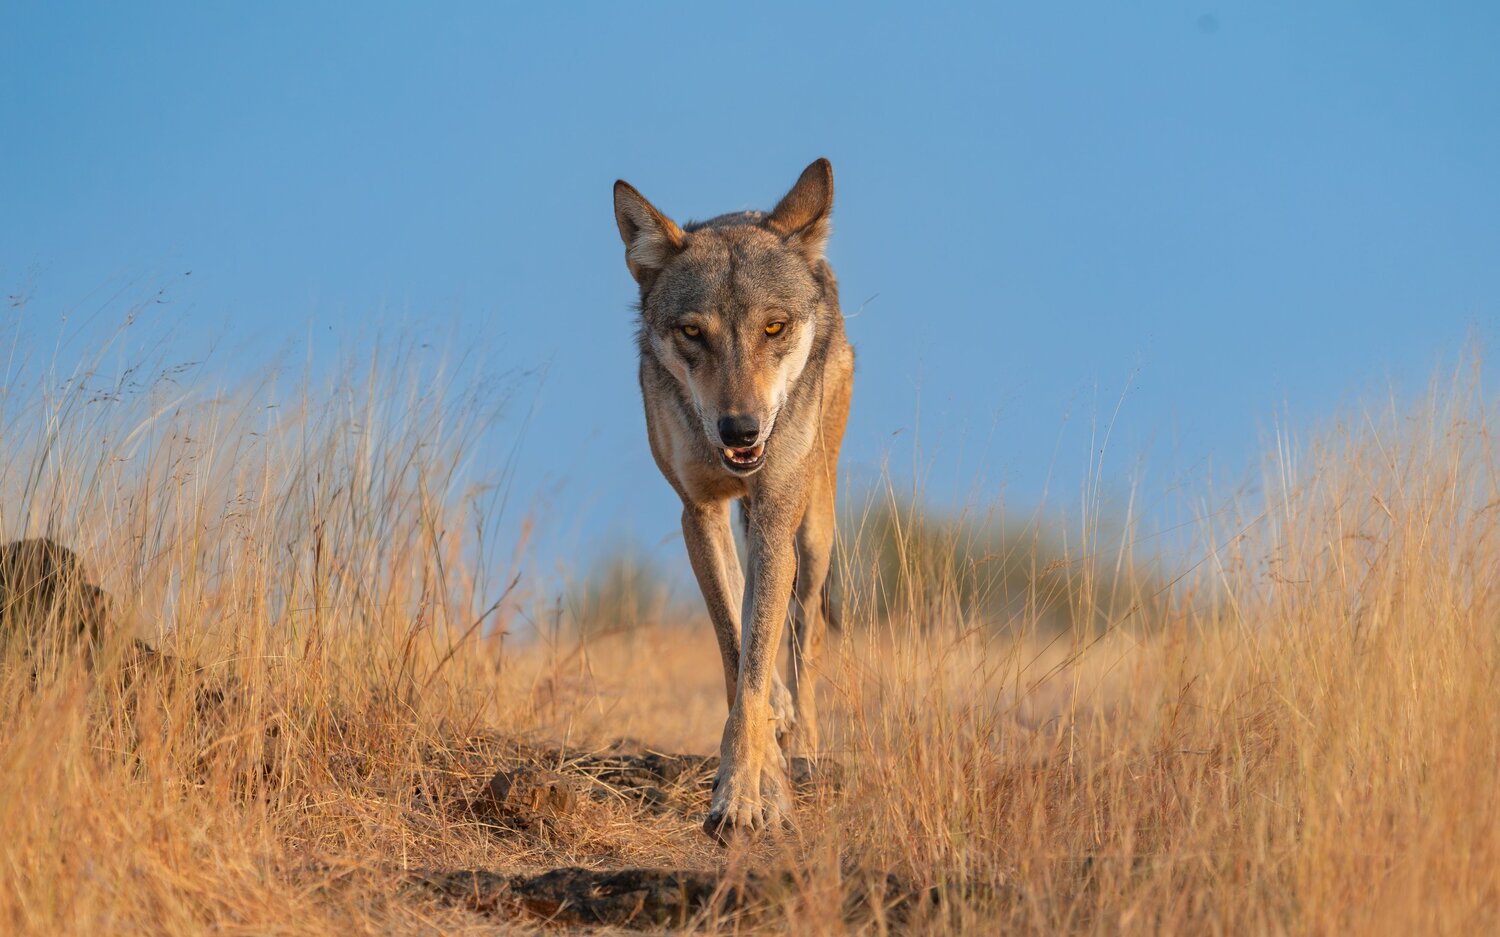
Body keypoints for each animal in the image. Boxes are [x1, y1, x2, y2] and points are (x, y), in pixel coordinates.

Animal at [612, 158, 854, 839]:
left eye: (773, 327)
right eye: (694, 333)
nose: (740, 431)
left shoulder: (774, 516)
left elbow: (754, 664)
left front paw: (748, 797)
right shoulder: (699, 513)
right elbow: (733, 650)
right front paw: (756, 781)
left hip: (814, 531)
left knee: (804, 638)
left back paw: (807, 752)